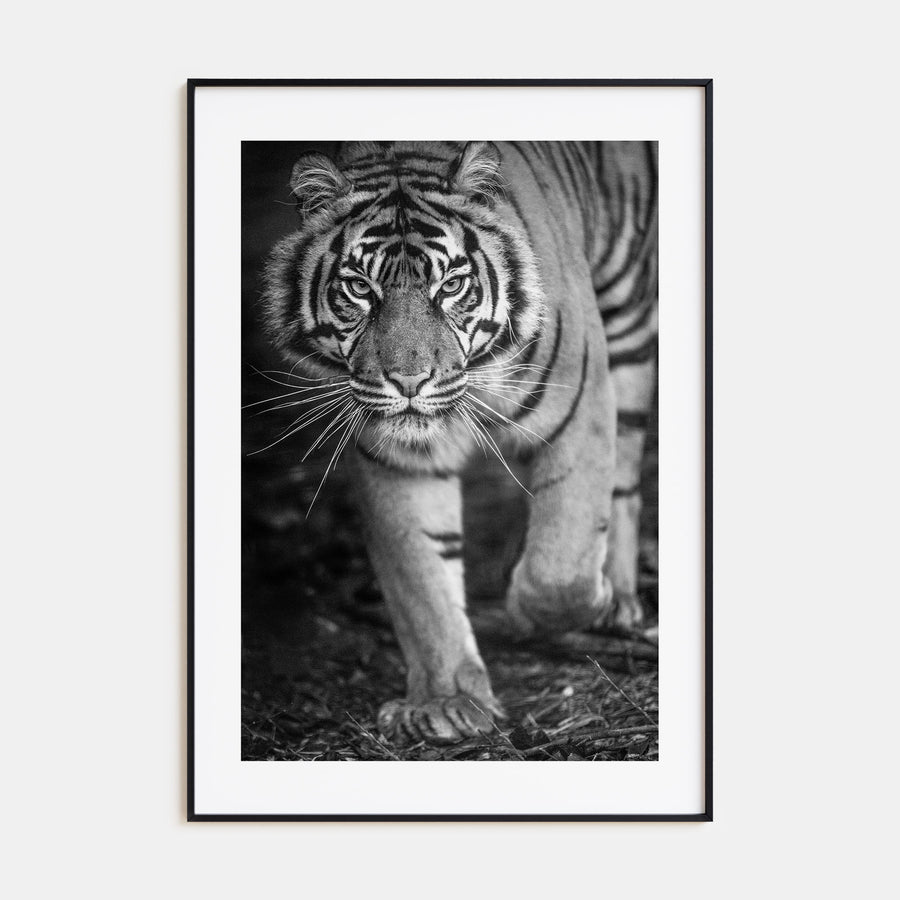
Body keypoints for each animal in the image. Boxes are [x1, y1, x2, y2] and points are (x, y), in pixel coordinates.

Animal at [261, 141, 657, 745]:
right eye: (359, 288)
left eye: (450, 286)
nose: (408, 382)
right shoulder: (399, 459)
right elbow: (422, 580)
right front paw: (446, 701)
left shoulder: (580, 401)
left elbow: (559, 568)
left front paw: (571, 604)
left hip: (628, 318)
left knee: (625, 481)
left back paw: (617, 599)